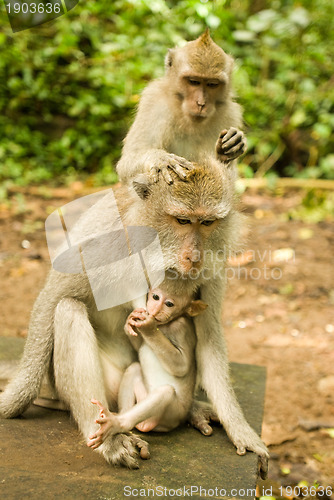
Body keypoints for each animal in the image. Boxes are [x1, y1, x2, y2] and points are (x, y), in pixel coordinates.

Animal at [87, 286, 206, 450]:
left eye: (169, 304)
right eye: (155, 297)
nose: (154, 310)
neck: (163, 325)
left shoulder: (181, 328)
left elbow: (181, 366)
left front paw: (148, 327)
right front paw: (129, 323)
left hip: (172, 415)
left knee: (165, 392)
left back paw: (117, 424)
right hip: (144, 397)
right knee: (134, 368)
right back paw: (121, 416)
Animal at [117, 27, 245, 184]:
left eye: (212, 84)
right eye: (194, 82)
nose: (201, 103)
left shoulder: (230, 114)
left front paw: (227, 149)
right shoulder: (153, 102)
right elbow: (126, 163)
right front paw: (160, 158)